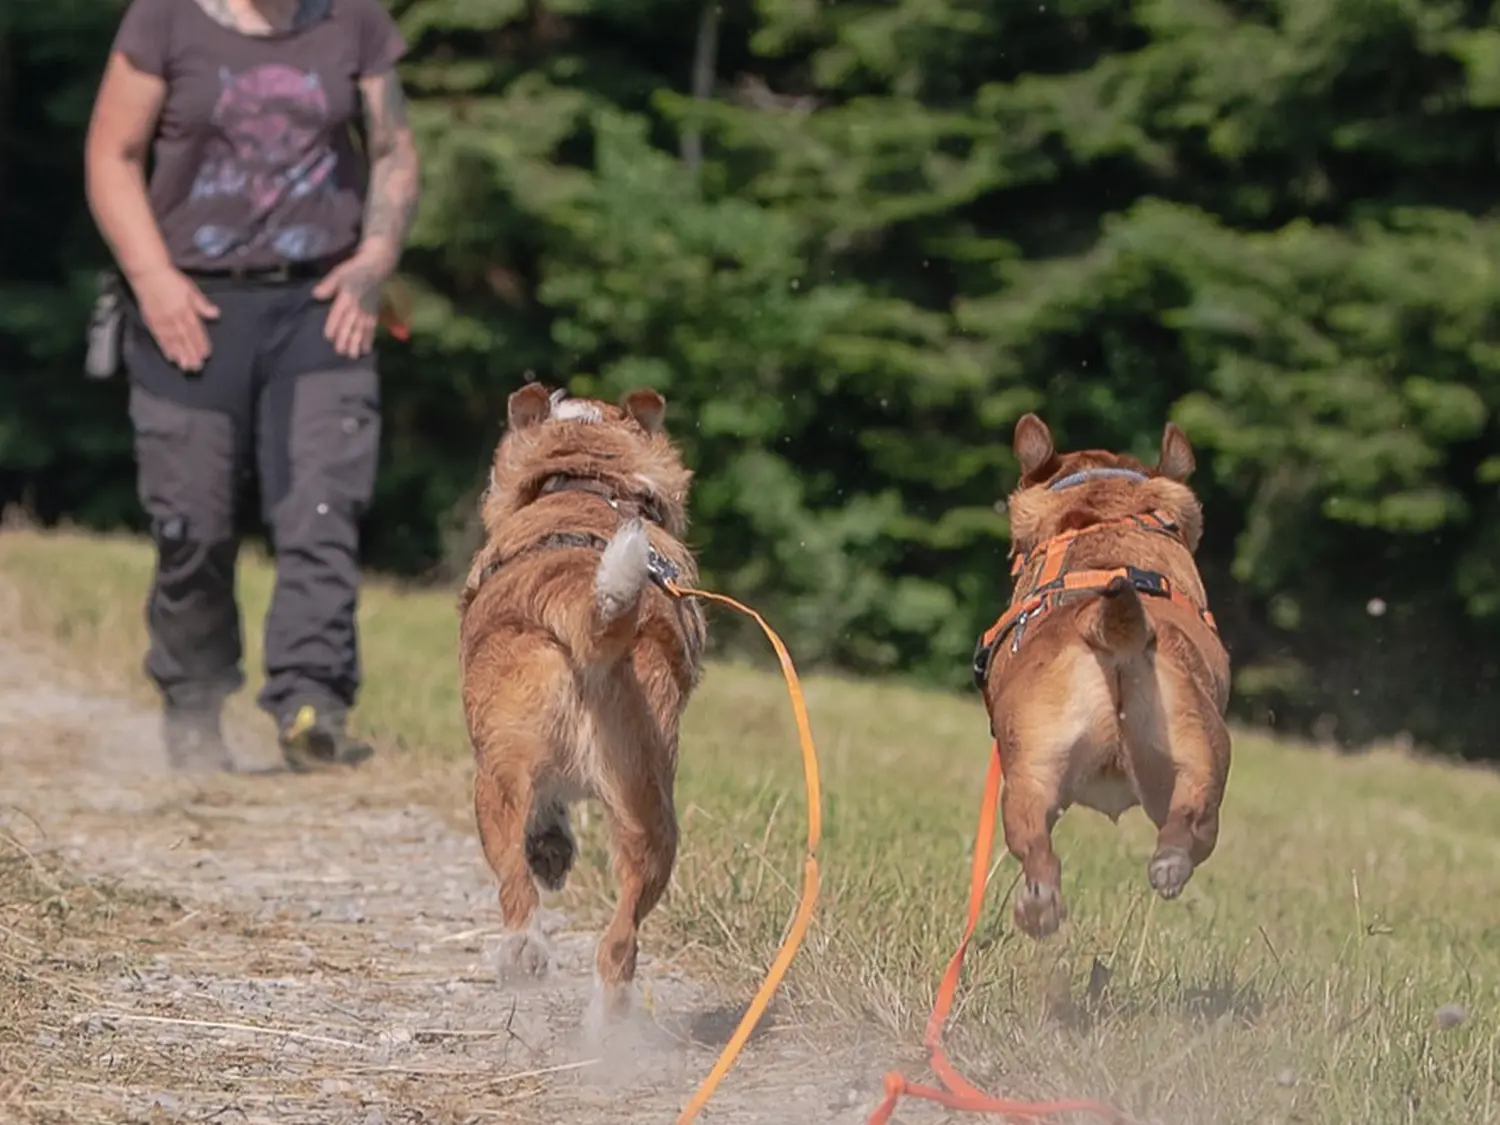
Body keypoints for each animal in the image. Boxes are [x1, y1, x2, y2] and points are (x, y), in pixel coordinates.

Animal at [459, 384, 705, 1008]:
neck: (586, 483)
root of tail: (586, 609)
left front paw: (550, 851)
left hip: (493, 779)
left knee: (514, 880)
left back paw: (523, 952)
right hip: (648, 803)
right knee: (619, 941)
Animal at [972, 414, 1230, 942]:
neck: (1106, 519)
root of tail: (1104, 624)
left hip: (1030, 771)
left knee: (1037, 846)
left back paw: (1039, 908)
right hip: (1190, 746)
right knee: (1190, 817)